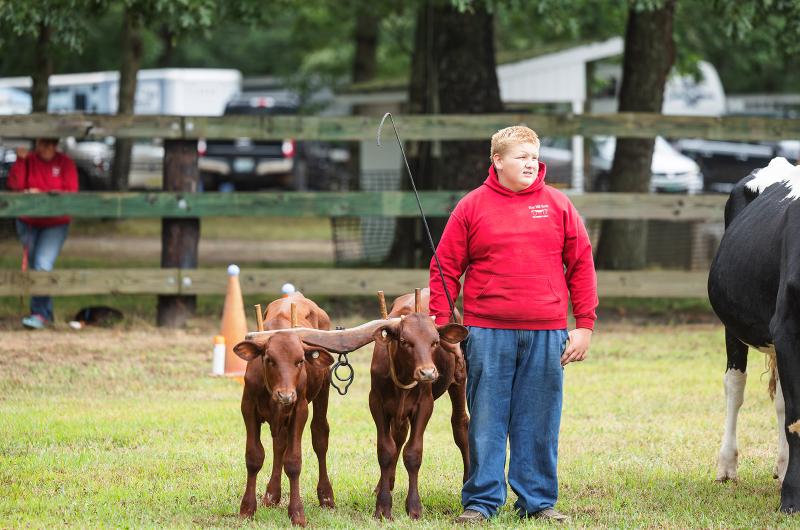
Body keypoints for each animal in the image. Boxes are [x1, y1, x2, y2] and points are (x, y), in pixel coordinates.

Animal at [233, 292, 393, 526]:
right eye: (269, 359)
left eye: (300, 361)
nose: (286, 395)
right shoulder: (248, 409)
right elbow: (254, 457)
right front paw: (247, 509)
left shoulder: (299, 410)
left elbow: (293, 461)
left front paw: (297, 513)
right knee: (279, 444)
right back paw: (272, 494)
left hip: (322, 390)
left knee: (320, 437)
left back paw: (326, 496)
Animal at [368, 288, 469, 520]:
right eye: (405, 341)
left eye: (435, 342)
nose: (428, 372)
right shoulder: (376, 403)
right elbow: (386, 450)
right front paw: (383, 505)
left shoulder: (424, 405)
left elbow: (413, 453)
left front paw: (414, 507)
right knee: (398, 437)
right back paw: (385, 483)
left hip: (459, 380)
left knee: (460, 424)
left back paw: (469, 480)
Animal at [708, 156, 800, 513]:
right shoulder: (786, 329)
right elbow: (796, 419)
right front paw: (792, 499)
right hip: (734, 324)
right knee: (735, 386)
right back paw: (727, 466)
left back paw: (782, 465)